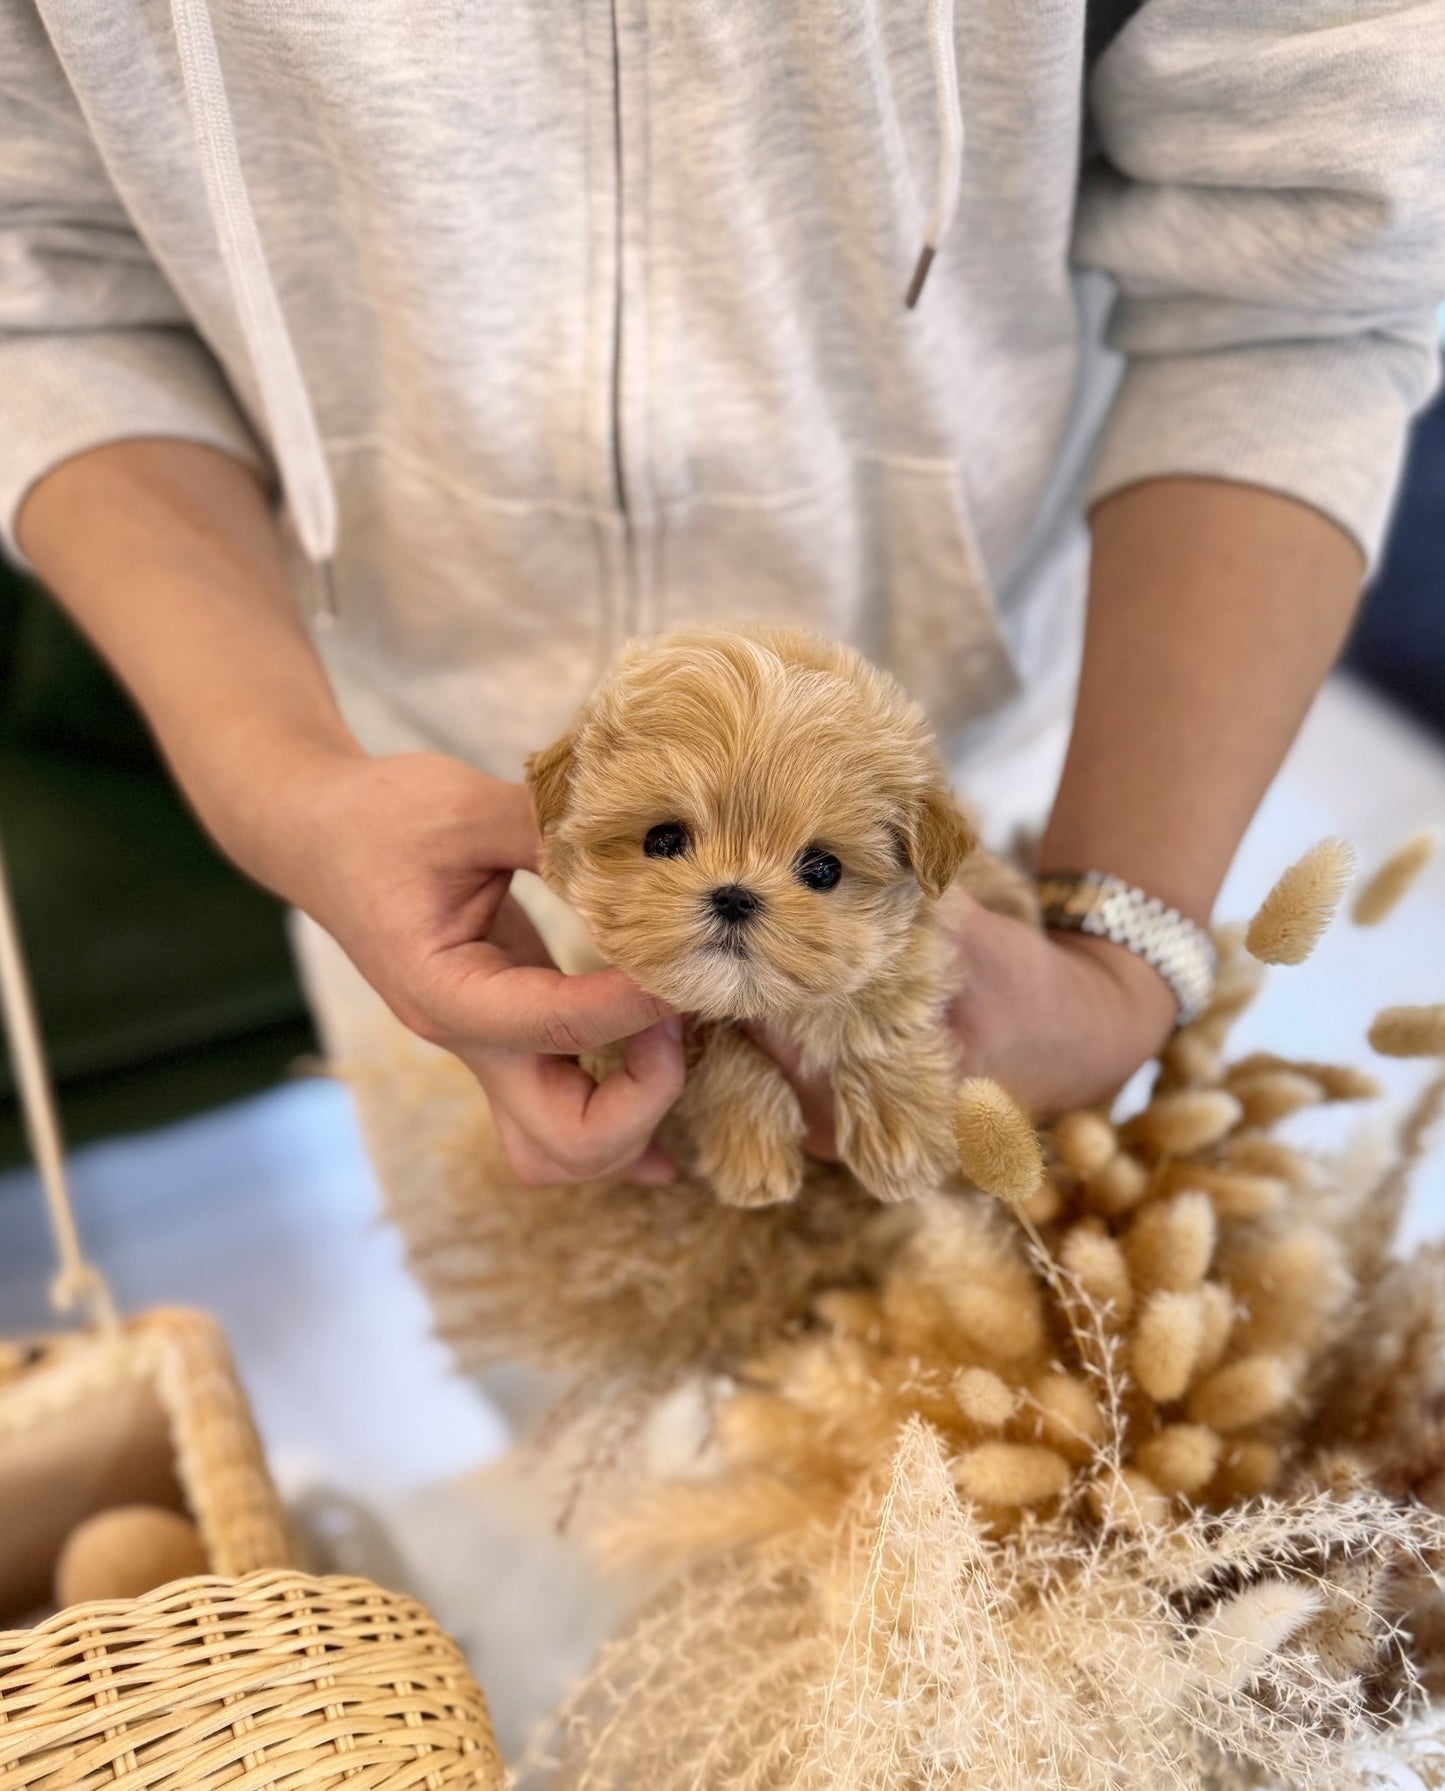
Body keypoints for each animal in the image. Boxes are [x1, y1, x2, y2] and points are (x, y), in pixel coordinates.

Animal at [530, 626, 1017, 1203]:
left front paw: (903, 1142)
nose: (735, 897)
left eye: (823, 869)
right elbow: (728, 1046)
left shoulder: (922, 943)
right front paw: (752, 1154)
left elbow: (883, 1010)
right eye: (663, 840)